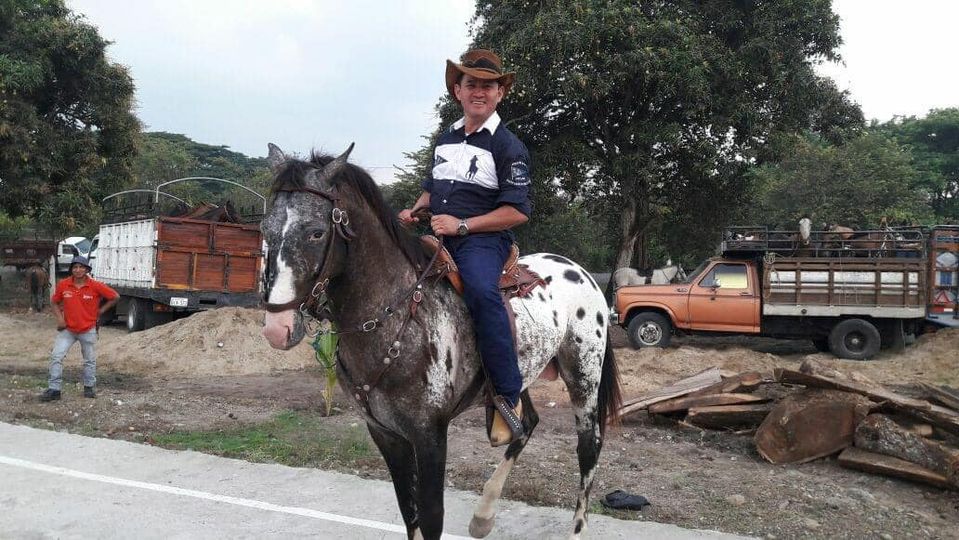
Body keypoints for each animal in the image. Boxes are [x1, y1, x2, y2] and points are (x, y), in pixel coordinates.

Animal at [259, 144, 622, 540]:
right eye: (264, 228)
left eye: (315, 233)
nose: (277, 327)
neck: (396, 314)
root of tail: (581, 271)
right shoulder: (385, 434)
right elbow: (409, 511)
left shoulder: (429, 434)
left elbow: (431, 514)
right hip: (518, 376)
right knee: (525, 425)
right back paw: (483, 515)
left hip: (584, 377)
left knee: (589, 446)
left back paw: (575, 526)